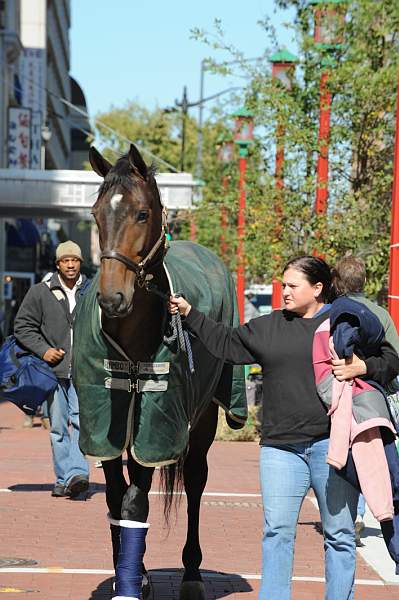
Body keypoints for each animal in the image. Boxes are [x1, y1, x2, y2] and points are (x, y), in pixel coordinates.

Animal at [72, 145, 247, 600]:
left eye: (141, 213)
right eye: (96, 213)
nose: (112, 298)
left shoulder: (156, 423)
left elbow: (136, 501)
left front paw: (133, 584)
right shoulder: (107, 424)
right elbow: (116, 499)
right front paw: (132, 576)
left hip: (202, 418)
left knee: (197, 481)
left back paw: (191, 573)